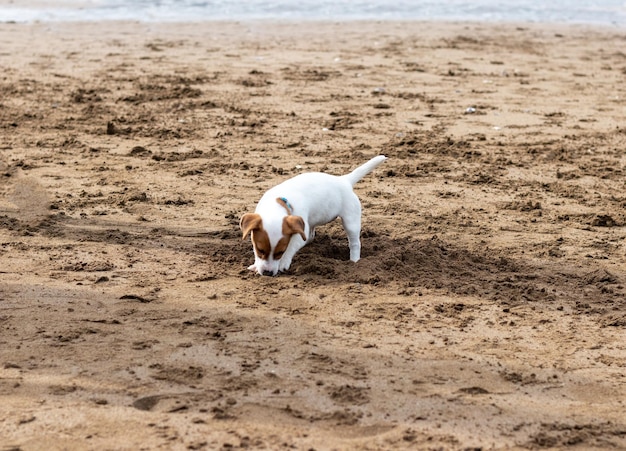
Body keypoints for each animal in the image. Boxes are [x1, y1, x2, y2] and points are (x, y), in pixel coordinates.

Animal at [240, 155, 382, 276]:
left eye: (280, 252)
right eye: (260, 250)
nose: (267, 273)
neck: (279, 203)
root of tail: (344, 180)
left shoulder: (298, 233)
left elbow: (291, 247)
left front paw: (283, 262)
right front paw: (255, 265)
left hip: (351, 221)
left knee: (355, 243)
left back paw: (354, 261)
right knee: (311, 235)